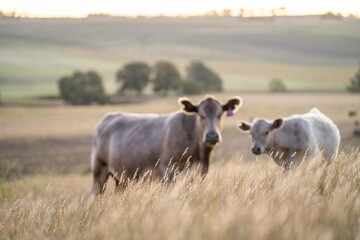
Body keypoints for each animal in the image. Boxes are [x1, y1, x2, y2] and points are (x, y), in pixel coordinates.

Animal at [90, 94, 242, 194]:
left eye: (220, 114)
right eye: (200, 115)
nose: (212, 136)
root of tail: (108, 117)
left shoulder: (198, 173)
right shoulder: (169, 171)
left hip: (121, 176)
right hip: (99, 169)